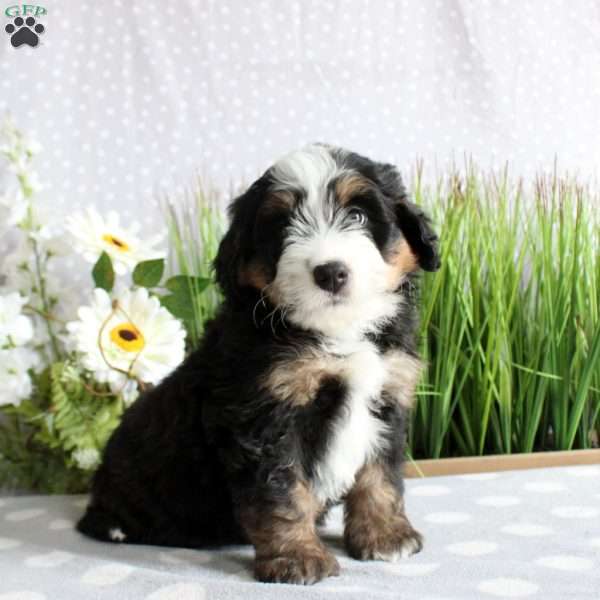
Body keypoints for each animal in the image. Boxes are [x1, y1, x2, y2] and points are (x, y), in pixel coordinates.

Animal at [76, 143, 440, 584]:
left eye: (357, 215)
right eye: (282, 226)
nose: (331, 273)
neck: (338, 333)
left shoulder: (388, 394)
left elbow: (380, 475)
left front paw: (385, 536)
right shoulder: (265, 413)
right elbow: (281, 491)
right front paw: (296, 557)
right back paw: (116, 527)